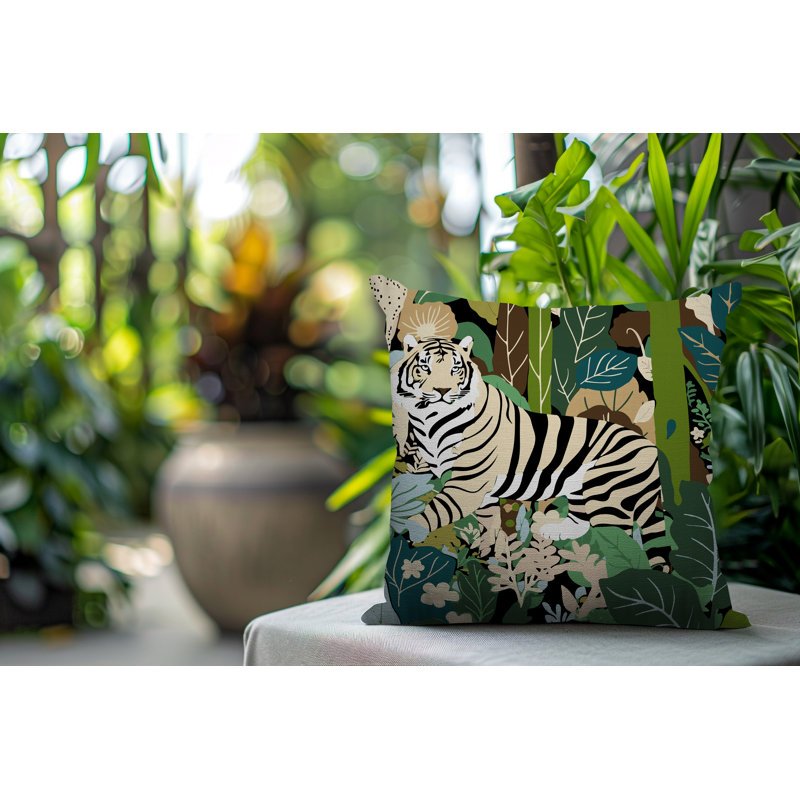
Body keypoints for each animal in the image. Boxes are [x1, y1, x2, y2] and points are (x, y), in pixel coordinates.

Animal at [392, 334, 669, 570]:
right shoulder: (480, 488)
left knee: (617, 538)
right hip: (582, 489)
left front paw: (411, 529)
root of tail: (650, 448)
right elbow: (488, 520)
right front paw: (488, 551)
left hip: (606, 495)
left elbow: (438, 508)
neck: (431, 420)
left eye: (455, 369)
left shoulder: (467, 484)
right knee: (582, 521)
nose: (442, 391)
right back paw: (549, 530)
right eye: (425, 367)